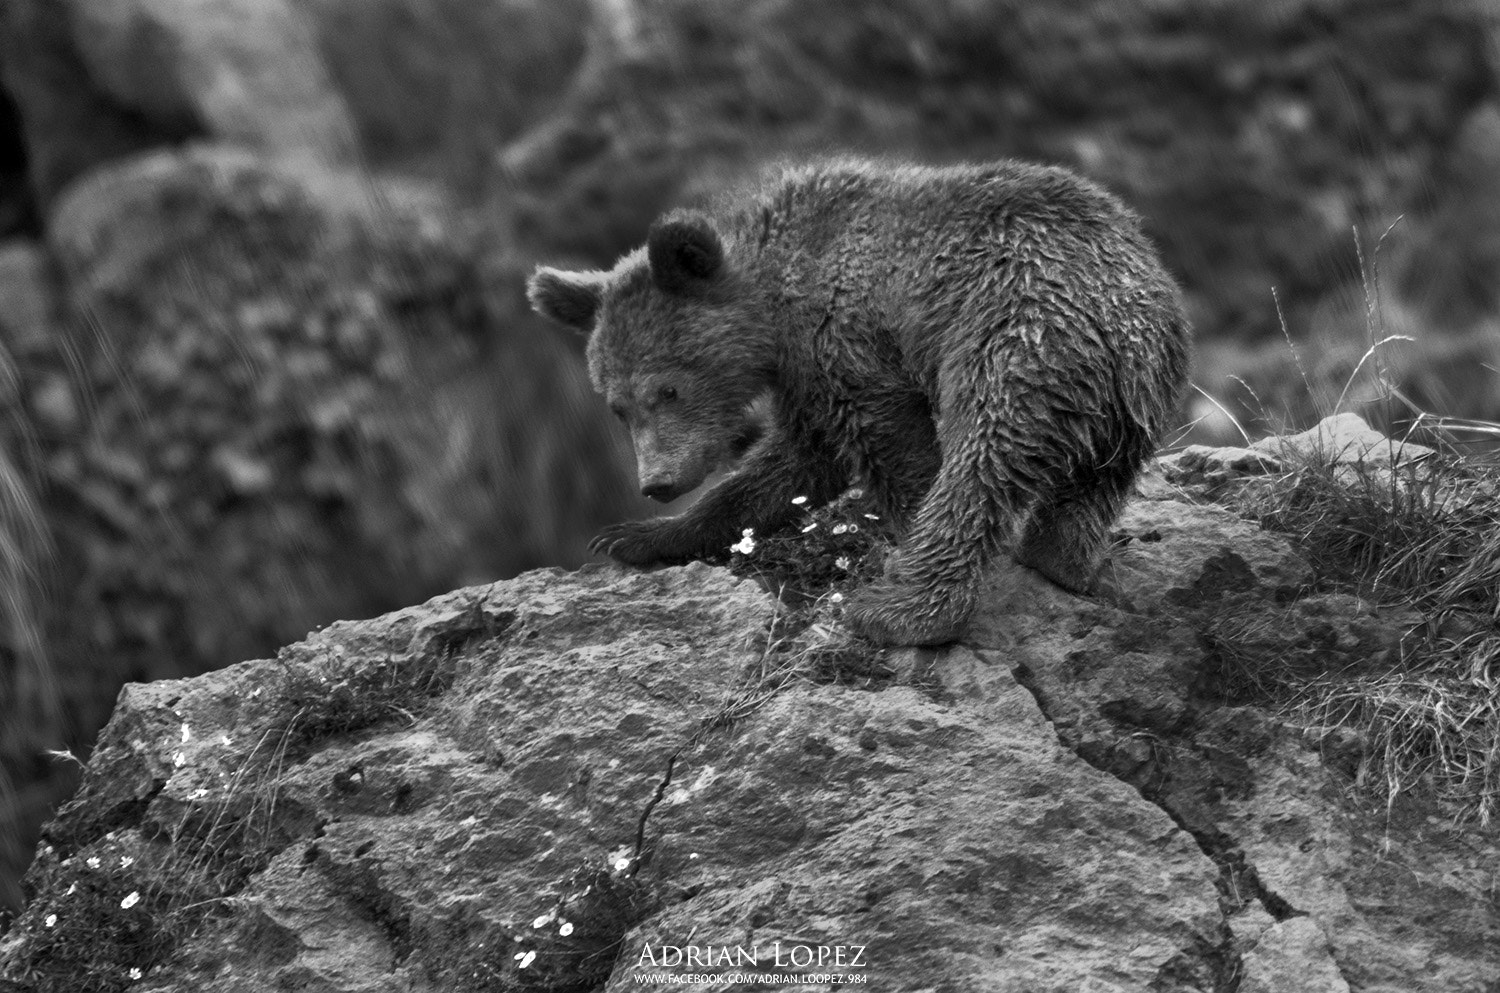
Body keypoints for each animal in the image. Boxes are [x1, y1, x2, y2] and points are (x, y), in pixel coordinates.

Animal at [528, 158, 1191, 645]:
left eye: (667, 388)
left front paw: (895, 537)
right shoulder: (805, 378)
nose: (658, 483)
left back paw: (903, 612)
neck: (773, 304)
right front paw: (636, 536)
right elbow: (795, 464)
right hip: (1141, 386)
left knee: (980, 462)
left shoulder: (843, 343)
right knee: (1096, 480)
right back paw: (1068, 560)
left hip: (1016, 336)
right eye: (617, 406)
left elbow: (884, 445)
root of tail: (1116, 313)